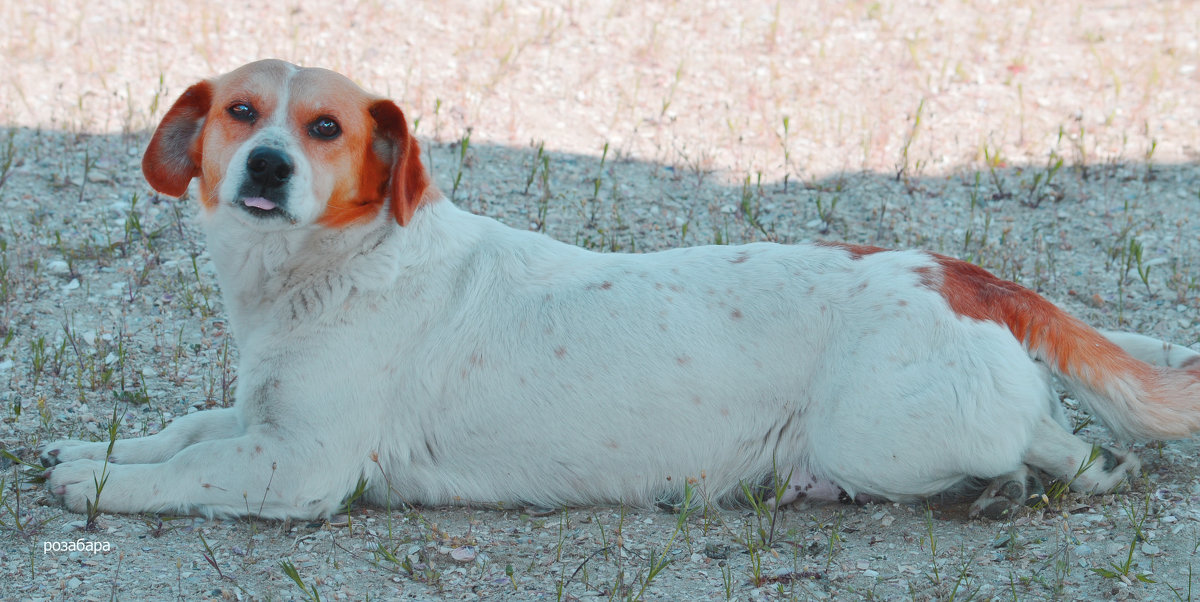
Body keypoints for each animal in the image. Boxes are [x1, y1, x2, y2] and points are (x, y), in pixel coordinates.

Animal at [39, 62, 1200, 522]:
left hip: (879, 430)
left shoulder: (299, 466)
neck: (337, 265)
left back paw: (1030, 476)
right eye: (241, 112)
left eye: (324, 128)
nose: (268, 166)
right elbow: (186, 430)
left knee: (1063, 450)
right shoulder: (260, 418)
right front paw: (97, 447)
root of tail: (958, 272)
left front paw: (97, 482)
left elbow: (185, 470)